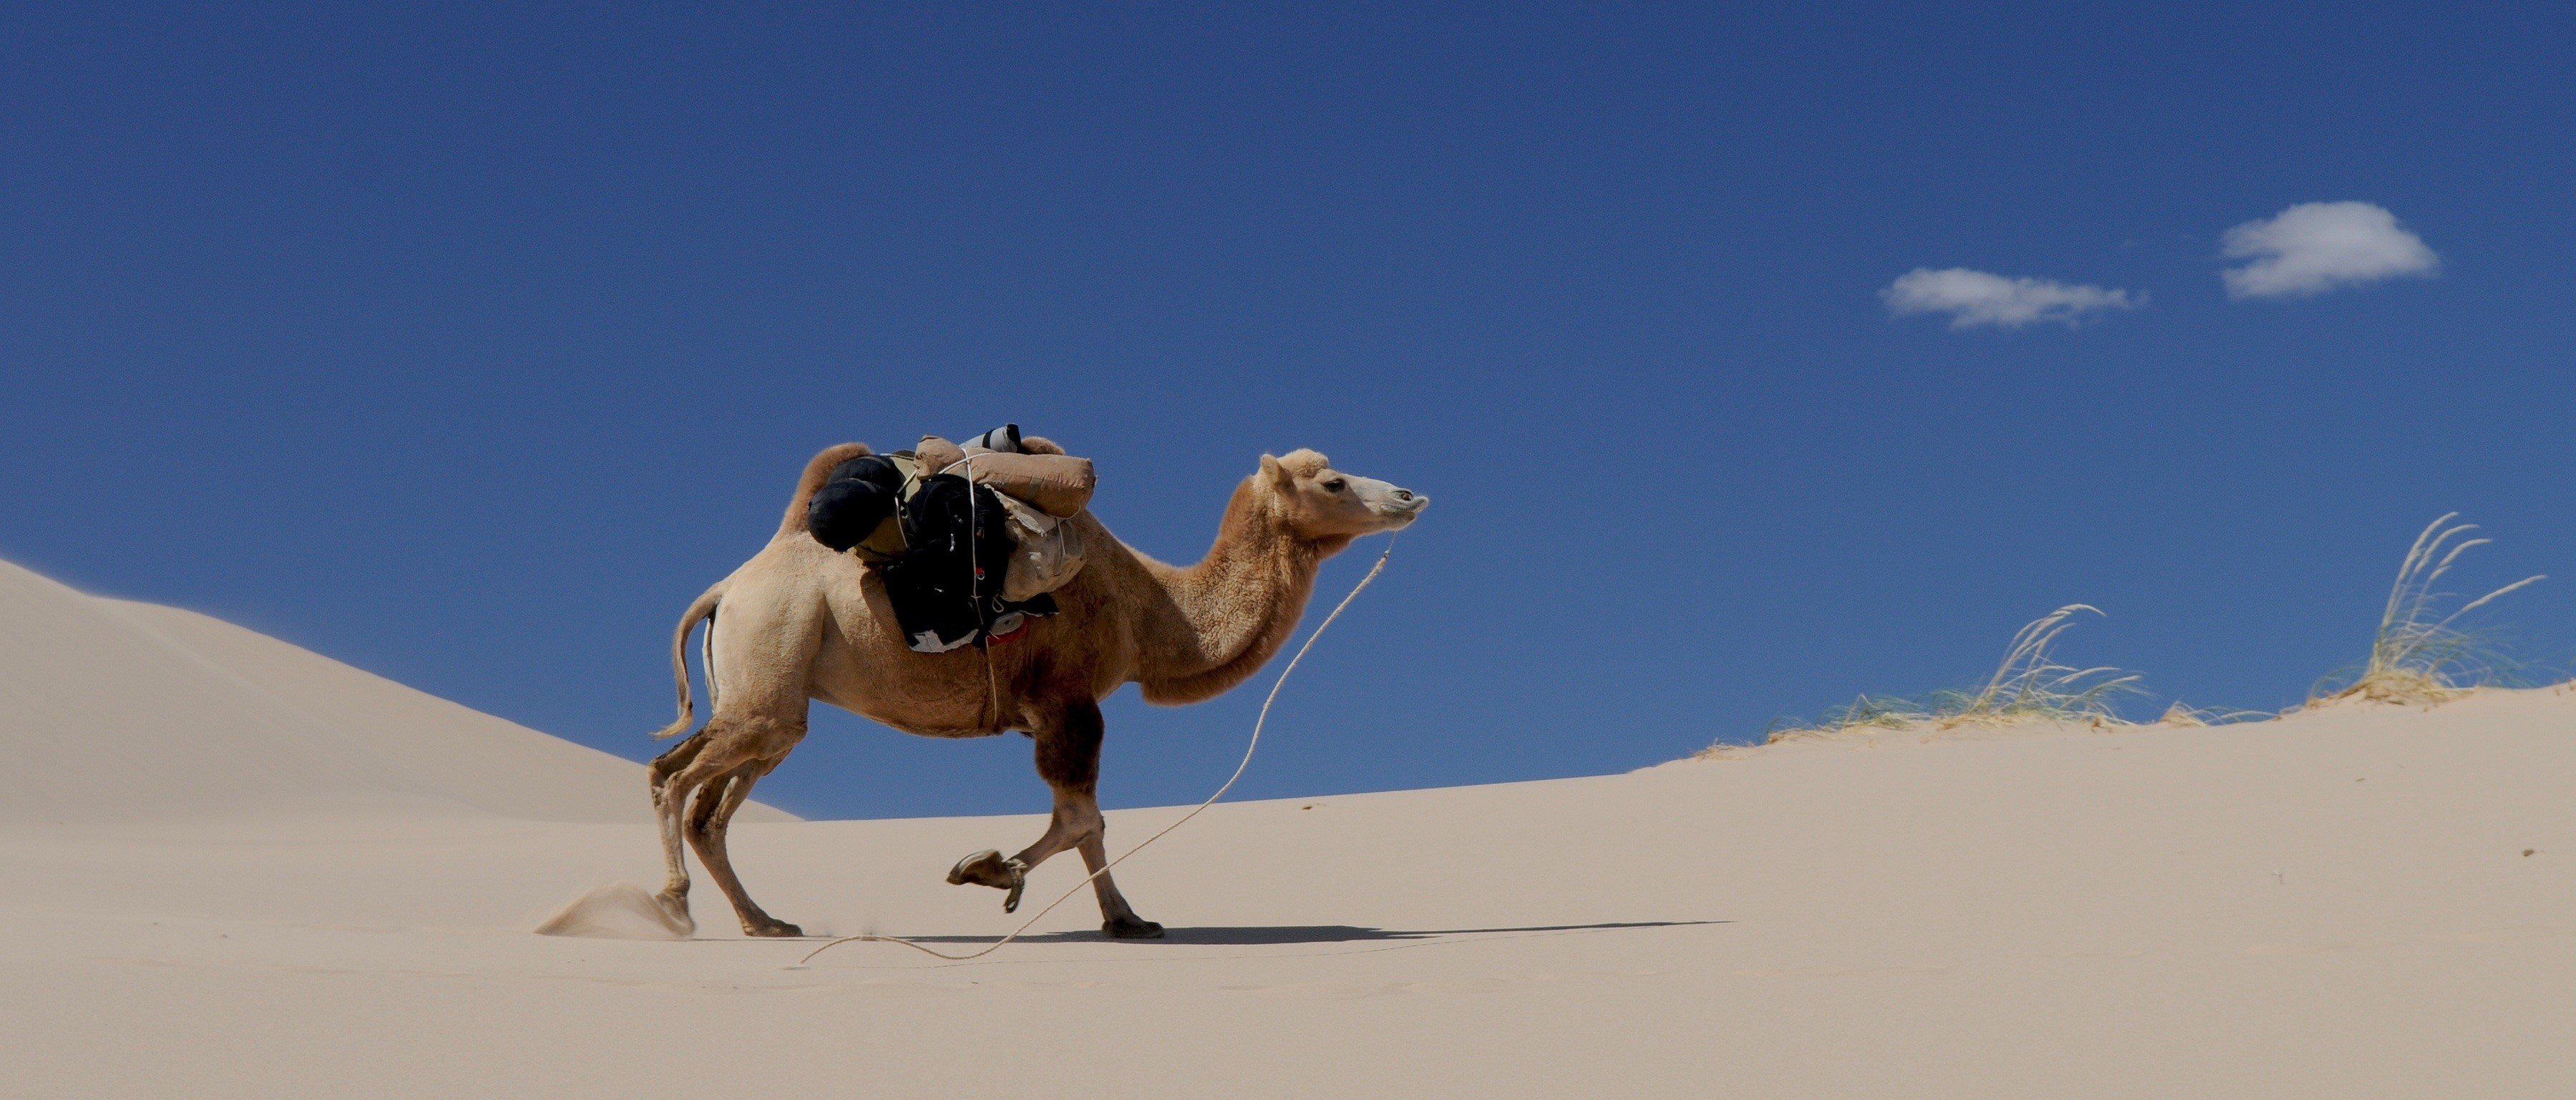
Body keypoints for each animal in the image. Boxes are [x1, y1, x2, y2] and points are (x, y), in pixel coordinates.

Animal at [644, 441, 1428, 939]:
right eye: (1332, 484)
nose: (1409, 494)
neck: (1152, 609)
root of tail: (727, 588)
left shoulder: (1062, 710)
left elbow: (1091, 823)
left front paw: (1127, 920)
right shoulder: (1067, 701)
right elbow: (1082, 819)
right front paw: (991, 870)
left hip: (774, 703)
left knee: (709, 808)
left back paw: (764, 921)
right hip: (768, 664)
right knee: (670, 777)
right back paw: (675, 905)